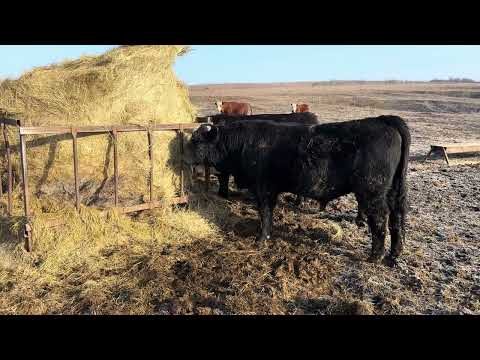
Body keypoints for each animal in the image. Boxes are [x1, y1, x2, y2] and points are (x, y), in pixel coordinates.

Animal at [186, 116, 410, 268]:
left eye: (196, 141)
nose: (183, 157)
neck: (243, 144)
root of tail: (383, 120)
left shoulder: (263, 188)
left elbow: (265, 213)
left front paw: (262, 239)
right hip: (393, 191)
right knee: (397, 218)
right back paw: (394, 254)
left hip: (372, 192)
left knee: (380, 219)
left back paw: (375, 256)